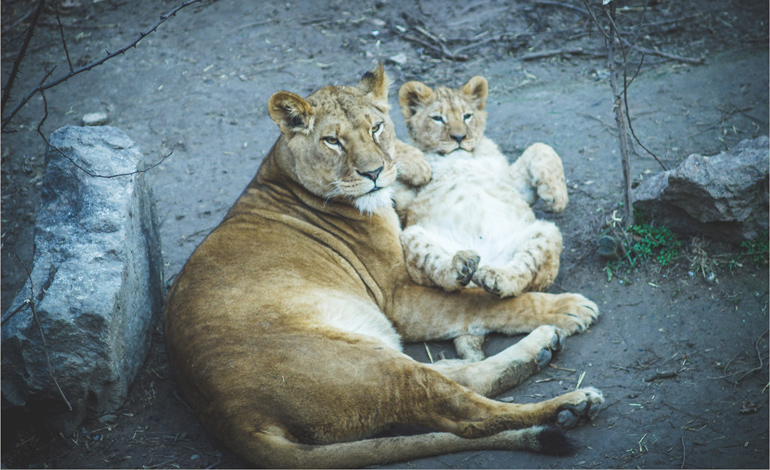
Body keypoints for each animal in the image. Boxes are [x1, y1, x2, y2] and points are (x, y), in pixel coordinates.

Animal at [396, 76, 571, 361]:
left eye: (467, 116)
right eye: (437, 118)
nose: (459, 137)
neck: (460, 155)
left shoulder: (511, 181)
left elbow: (540, 147)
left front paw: (556, 196)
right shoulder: (406, 203)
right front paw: (413, 163)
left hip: (546, 234)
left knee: (521, 277)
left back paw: (493, 277)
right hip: (412, 236)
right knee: (443, 277)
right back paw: (462, 266)